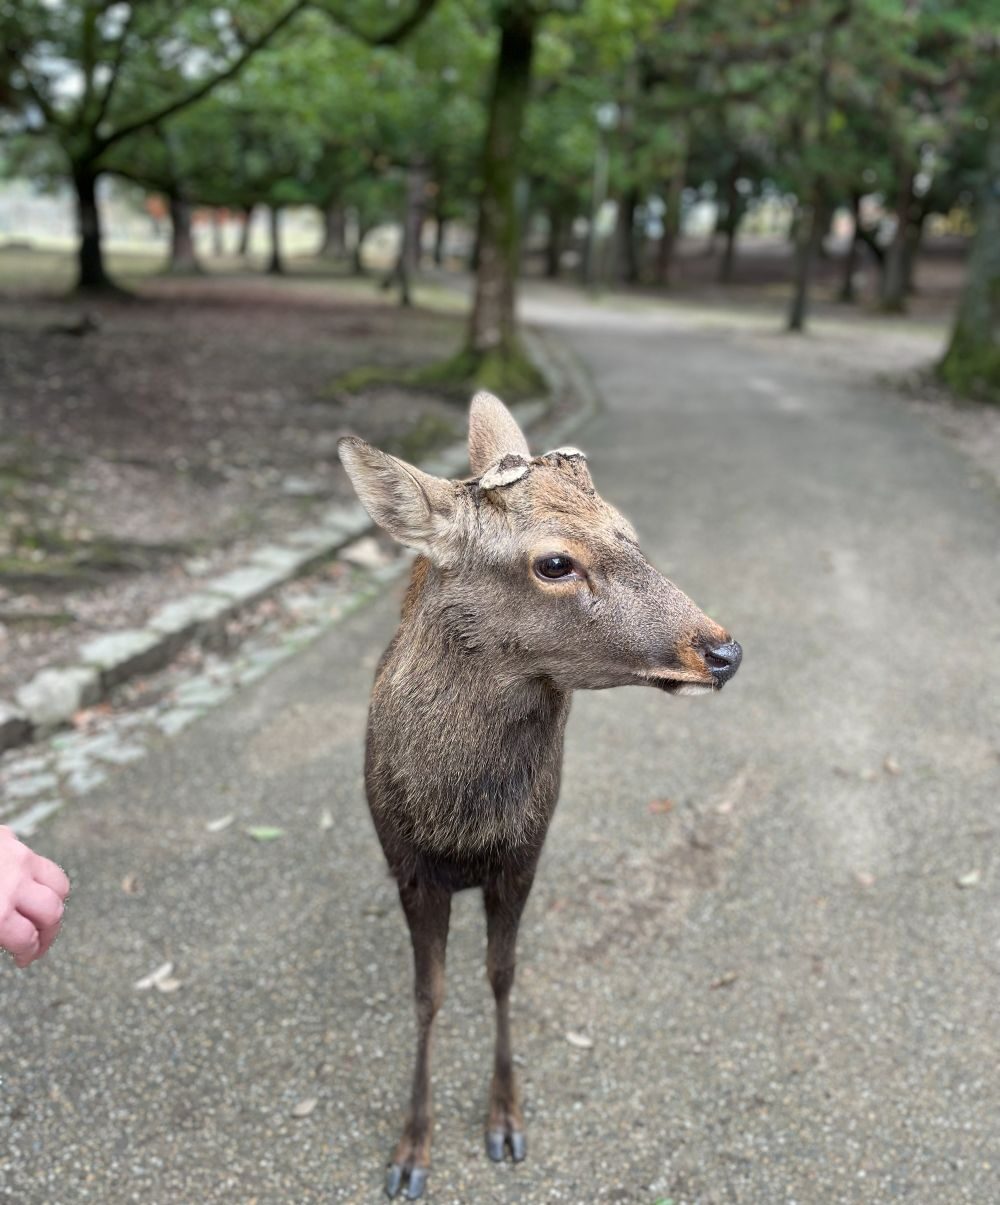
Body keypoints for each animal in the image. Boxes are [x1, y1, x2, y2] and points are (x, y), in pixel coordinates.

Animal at [337, 392, 742, 1200]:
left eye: (629, 531)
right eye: (555, 561)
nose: (723, 649)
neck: (461, 824)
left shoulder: (525, 852)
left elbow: (501, 975)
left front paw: (505, 1120)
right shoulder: (409, 866)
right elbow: (428, 995)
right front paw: (410, 1151)